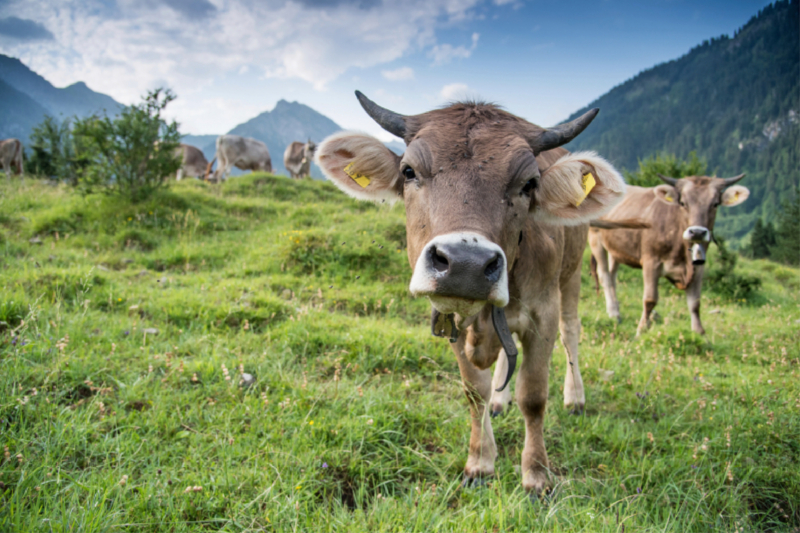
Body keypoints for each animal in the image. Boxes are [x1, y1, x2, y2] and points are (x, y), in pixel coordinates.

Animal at [316, 92, 628, 494]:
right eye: (408, 171)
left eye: (529, 184)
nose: (466, 264)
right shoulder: (450, 320)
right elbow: (473, 390)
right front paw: (480, 462)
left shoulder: (543, 313)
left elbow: (534, 396)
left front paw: (536, 476)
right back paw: (500, 399)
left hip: (572, 273)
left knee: (571, 331)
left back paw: (575, 397)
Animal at [588, 172, 752, 334]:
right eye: (683, 203)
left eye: (715, 204)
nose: (697, 232)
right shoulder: (651, 261)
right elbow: (650, 299)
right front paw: (641, 329)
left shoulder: (699, 266)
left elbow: (695, 302)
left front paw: (699, 333)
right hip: (595, 238)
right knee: (604, 275)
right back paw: (614, 313)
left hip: (615, 248)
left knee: (612, 275)